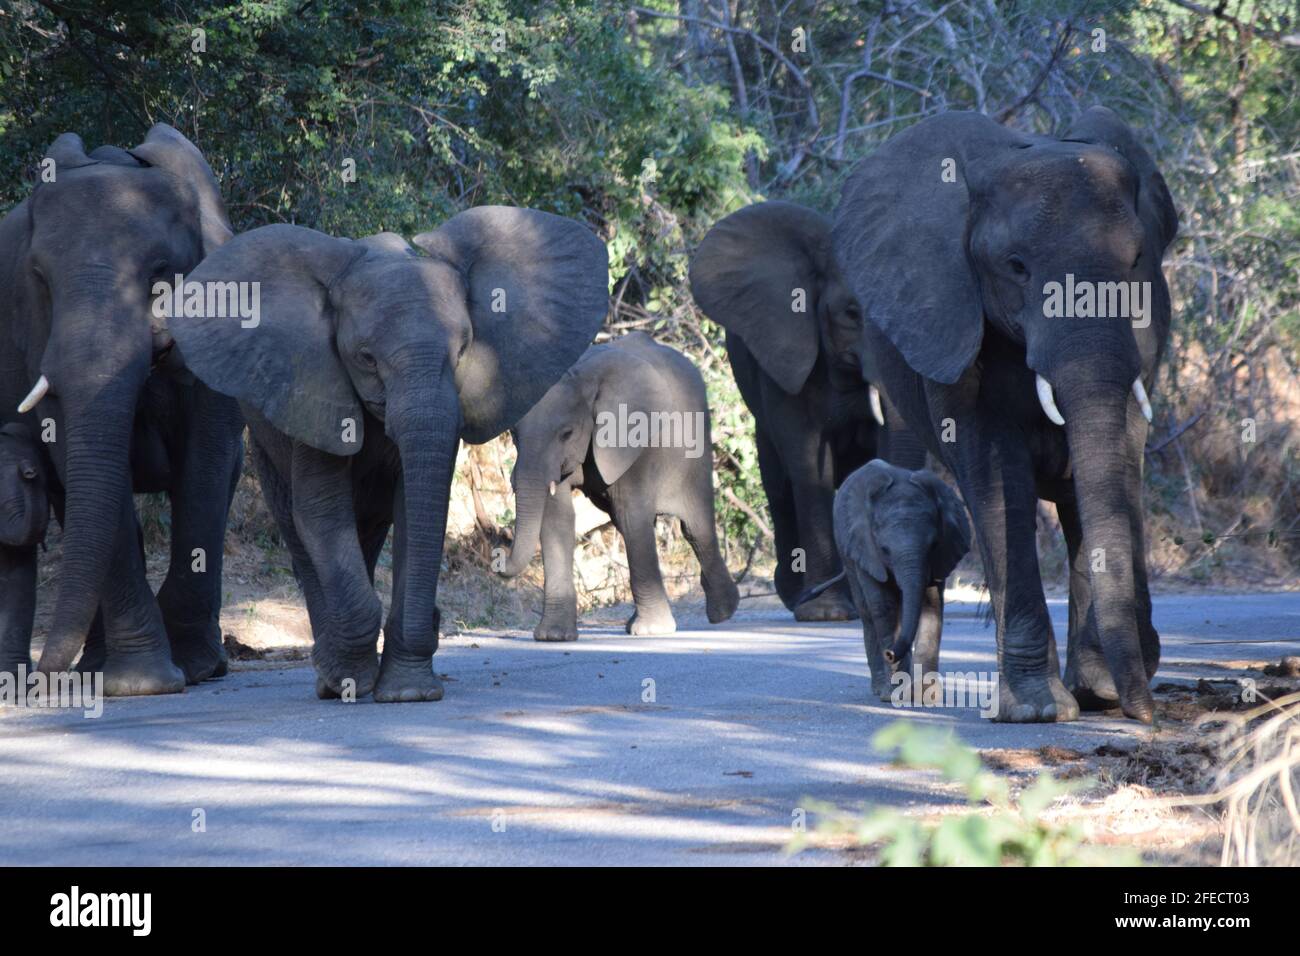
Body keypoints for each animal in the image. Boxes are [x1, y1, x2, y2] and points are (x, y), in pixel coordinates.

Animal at [0, 125, 246, 694]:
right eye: (39, 276)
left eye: (160, 274)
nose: (38, 680)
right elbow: (76, 456)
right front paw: (142, 684)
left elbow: (206, 463)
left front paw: (192, 667)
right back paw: (96, 667)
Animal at [166, 207, 609, 701]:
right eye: (366, 358)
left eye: (463, 350)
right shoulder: (313, 386)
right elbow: (320, 513)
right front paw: (354, 682)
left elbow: (414, 511)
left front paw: (407, 693)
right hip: (263, 435)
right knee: (298, 532)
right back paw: (330, 679)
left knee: (369, 527)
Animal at [499, 332, 739, 640]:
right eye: (514, 435)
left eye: (566, 433)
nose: (497, 556)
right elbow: (557, 518)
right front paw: (553, 637)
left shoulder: (631, 438)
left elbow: (631, 513)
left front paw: (651, 631)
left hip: (696, 445)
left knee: (694, 526)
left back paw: (723, 613)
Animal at [689, 201, 925, 624]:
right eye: (851, 313)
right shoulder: (785, 352)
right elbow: (808, 466)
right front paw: (825, 613)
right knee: (778, 482)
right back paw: (796, 594)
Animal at [830, 459, 969, 702]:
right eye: (884, 549)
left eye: (933, 545)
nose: (890, 653)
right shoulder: (866, 549)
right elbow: (884, 606)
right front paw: (895, 694)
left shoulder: (941, 553)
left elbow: (931, 605)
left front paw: (925, 695)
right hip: (846, 552)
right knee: (868, 612)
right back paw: (880, 689)